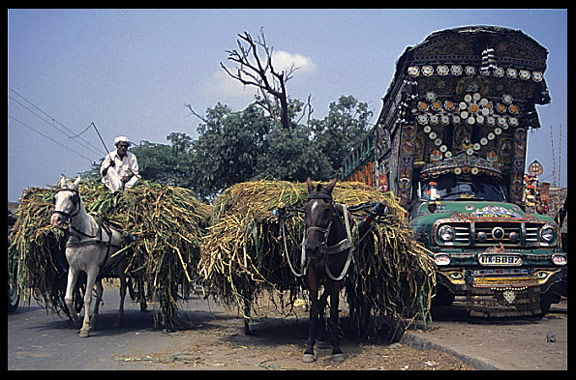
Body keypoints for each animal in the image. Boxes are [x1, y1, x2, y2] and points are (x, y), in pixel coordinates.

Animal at [50, 177, 130, 336]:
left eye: (72, 197)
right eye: (55, 197)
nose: (56, 219)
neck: (82, 237)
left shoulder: (92, 269)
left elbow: (87, 297)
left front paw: (85, 327)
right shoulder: (73, 269)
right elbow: (68, 297)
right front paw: (76, 319)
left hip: (119, 267)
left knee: (123, 290)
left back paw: (118, 319)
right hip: (101, 270)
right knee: (99, 292)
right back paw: (94, 320)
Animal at [302, 178, 352, 362]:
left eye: (327, 209)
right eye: (305, 209)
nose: (311, 248)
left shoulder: (337, 276)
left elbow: (333, 309)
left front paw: (336, 348)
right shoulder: (312, 274)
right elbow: (314, 308)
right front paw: (309, 349)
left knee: (324, 299)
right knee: (319, 302)